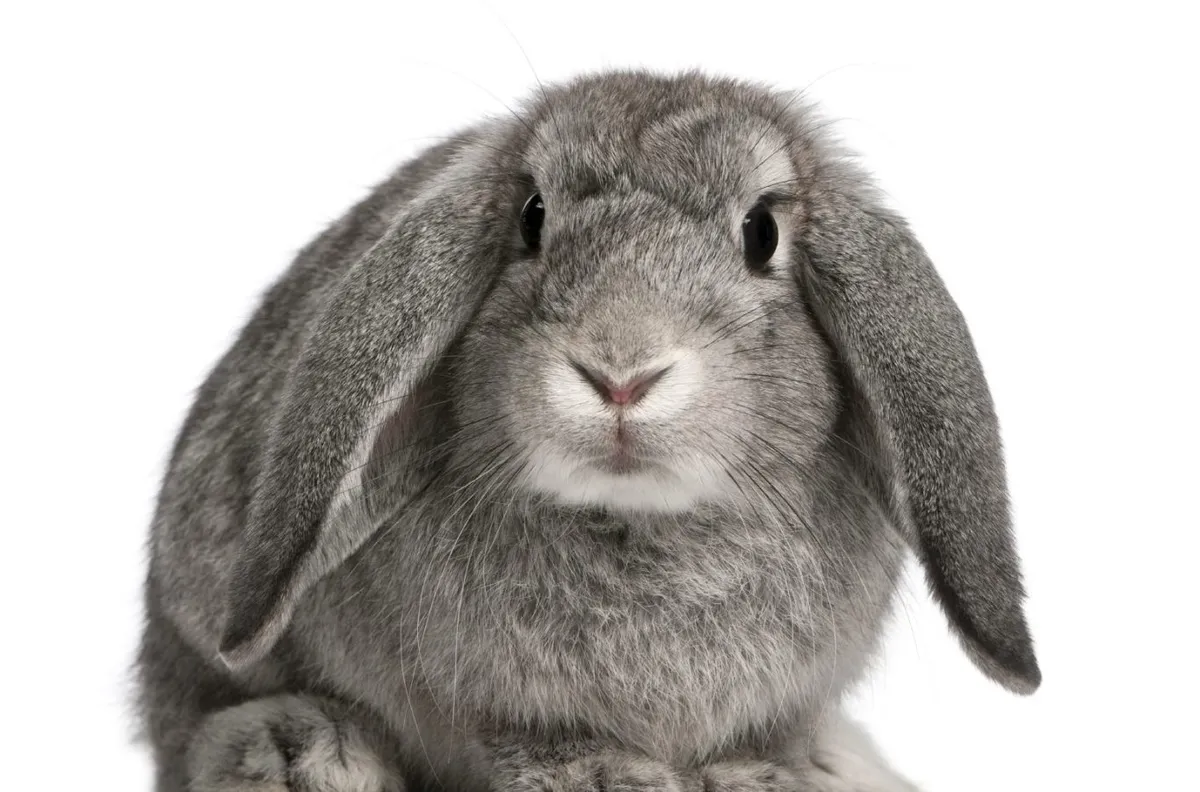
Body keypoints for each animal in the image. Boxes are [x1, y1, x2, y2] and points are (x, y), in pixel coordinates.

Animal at [136, 69, 1040, 792]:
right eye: (533, 218)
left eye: (762, 233)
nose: (620, 372)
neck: (641, 521)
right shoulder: (501, 709)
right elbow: (531, 741)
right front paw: (610, 778)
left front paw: (755, 777)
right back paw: (302, 754)